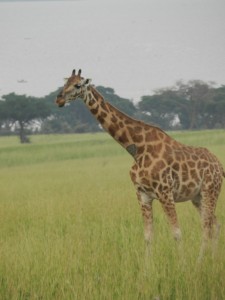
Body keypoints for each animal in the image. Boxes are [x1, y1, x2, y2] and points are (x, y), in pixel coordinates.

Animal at [55, 69, 224, 255]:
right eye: (65, 82)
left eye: (77, 85)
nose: (59, 99)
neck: (137, 149)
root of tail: (219, 165)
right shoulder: (142, 194)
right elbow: (148, 237)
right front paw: (147, 264)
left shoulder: (165, 193)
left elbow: (177, 233)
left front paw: (182, 263)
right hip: (197, 196)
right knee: (215, 224)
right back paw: (211, 259)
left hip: (210, 190)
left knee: (206, 226)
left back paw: (201, 261)